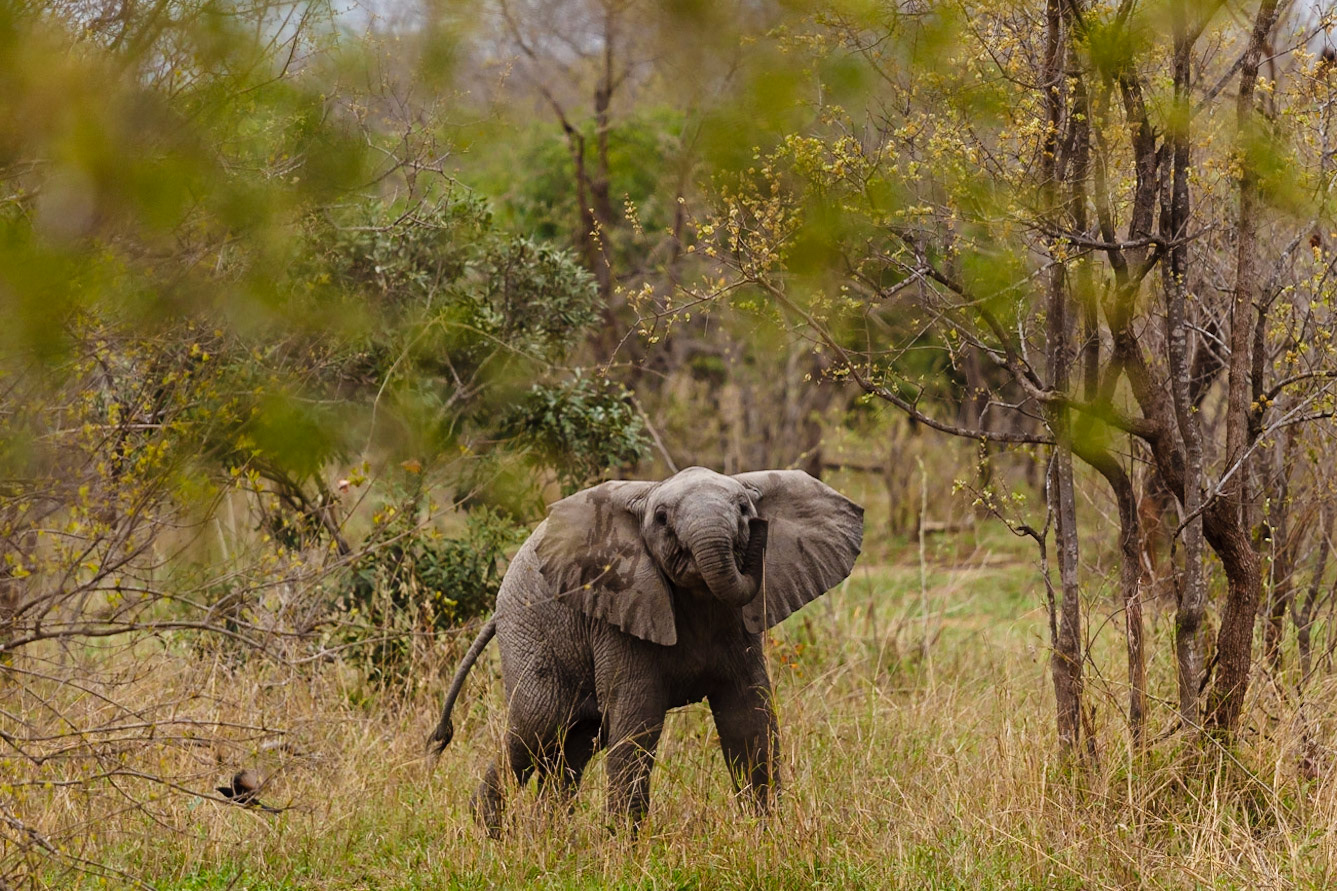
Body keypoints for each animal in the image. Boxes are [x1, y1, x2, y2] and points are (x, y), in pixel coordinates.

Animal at [428, 466, 863, 835]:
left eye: (743, 509)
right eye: (663, 519)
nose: (759, 527)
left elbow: (748, 717)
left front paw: (766, 835)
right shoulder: (621, 613)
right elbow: (638, 721)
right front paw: (623, 851)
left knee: (572, 748)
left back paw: (550, 838)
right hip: (529, 628)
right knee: (536, 727)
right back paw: (489, 833)